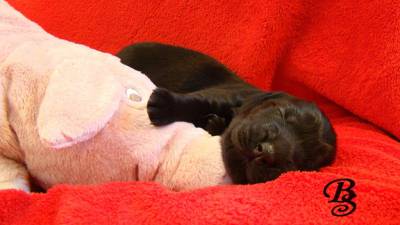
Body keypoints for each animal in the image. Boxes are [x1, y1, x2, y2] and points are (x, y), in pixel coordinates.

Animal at [117, 42, 336, 185]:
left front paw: (214, 125)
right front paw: (165, 105)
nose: (267, 152)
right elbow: (198, 102)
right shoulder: (226, 94)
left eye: (304, 161)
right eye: (282, 113)